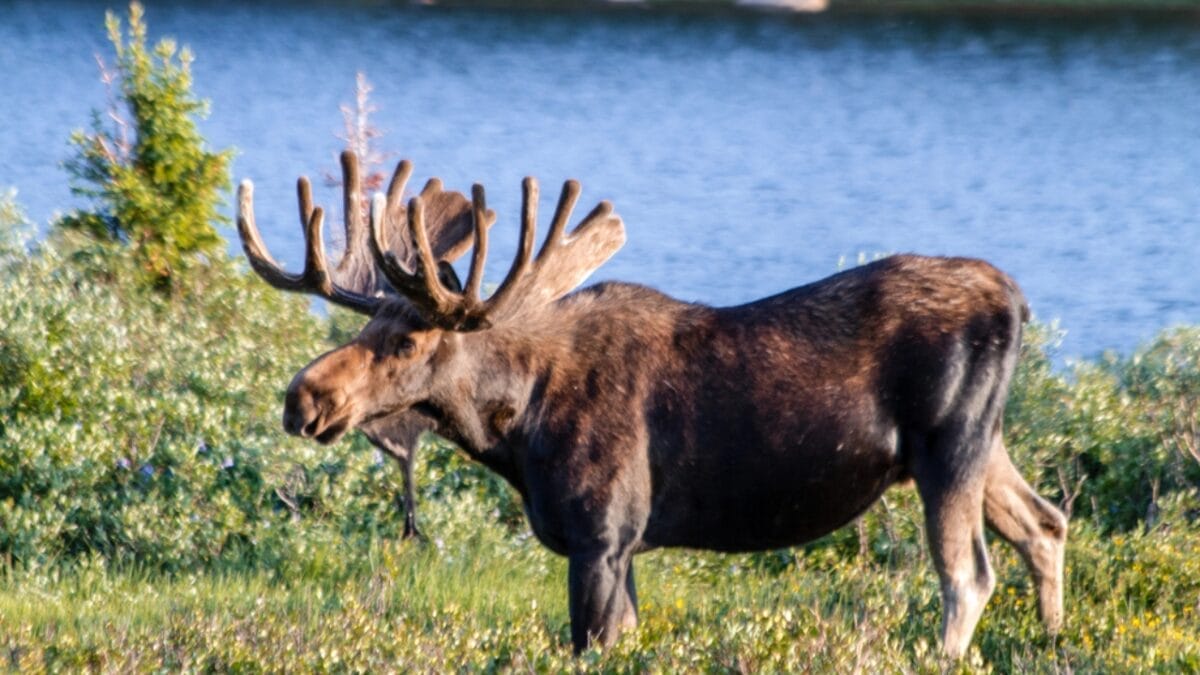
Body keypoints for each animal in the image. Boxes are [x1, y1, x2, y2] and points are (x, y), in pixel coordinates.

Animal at [236, 153, 1068, 658]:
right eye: (363, 325)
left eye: (408, 340)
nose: (303, 397)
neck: (517, 430)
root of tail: (1017, 298)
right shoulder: (624, 546)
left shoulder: (602, 534)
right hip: (982, 443)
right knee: (1046, 523)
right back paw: (1054, 640)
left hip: (947, 444)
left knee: (968, 575)